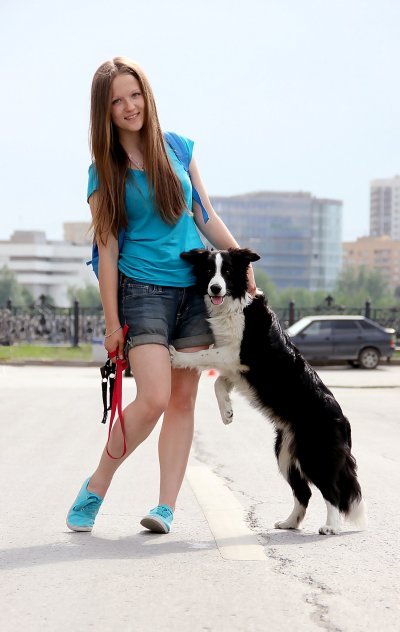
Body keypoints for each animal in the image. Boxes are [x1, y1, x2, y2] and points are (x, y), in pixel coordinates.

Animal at [170, 248, 367, 535]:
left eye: (227, 271)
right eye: (208, 271)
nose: (215, 288)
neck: (234, 303)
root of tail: (344, 420)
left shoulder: (236, 354)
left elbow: (204, 356)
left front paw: (176, 357)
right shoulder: (238, 370)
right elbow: (218, 383)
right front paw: (227, 413)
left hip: (315, 454)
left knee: (332, 491)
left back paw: (331, 527)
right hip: (285, 453)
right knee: (304, 492)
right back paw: (289, 522)